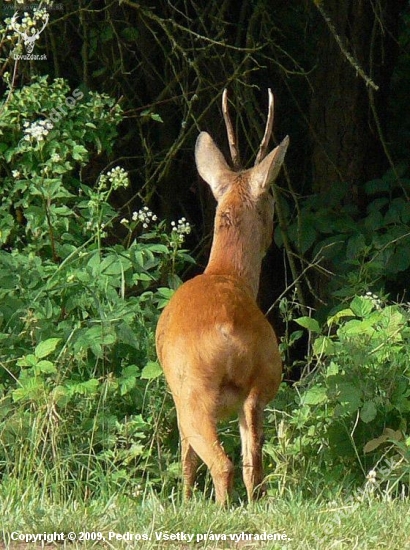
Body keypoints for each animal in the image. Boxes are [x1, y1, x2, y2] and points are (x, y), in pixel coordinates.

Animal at [155, 90, 290, 508]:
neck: (225, 273)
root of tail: (228, 330)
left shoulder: (175, 393)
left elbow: (185, 460)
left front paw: (183, 501)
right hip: (263, 380)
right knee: (252, 465)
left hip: (191, 391)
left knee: (219, 461)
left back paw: (215, 508)